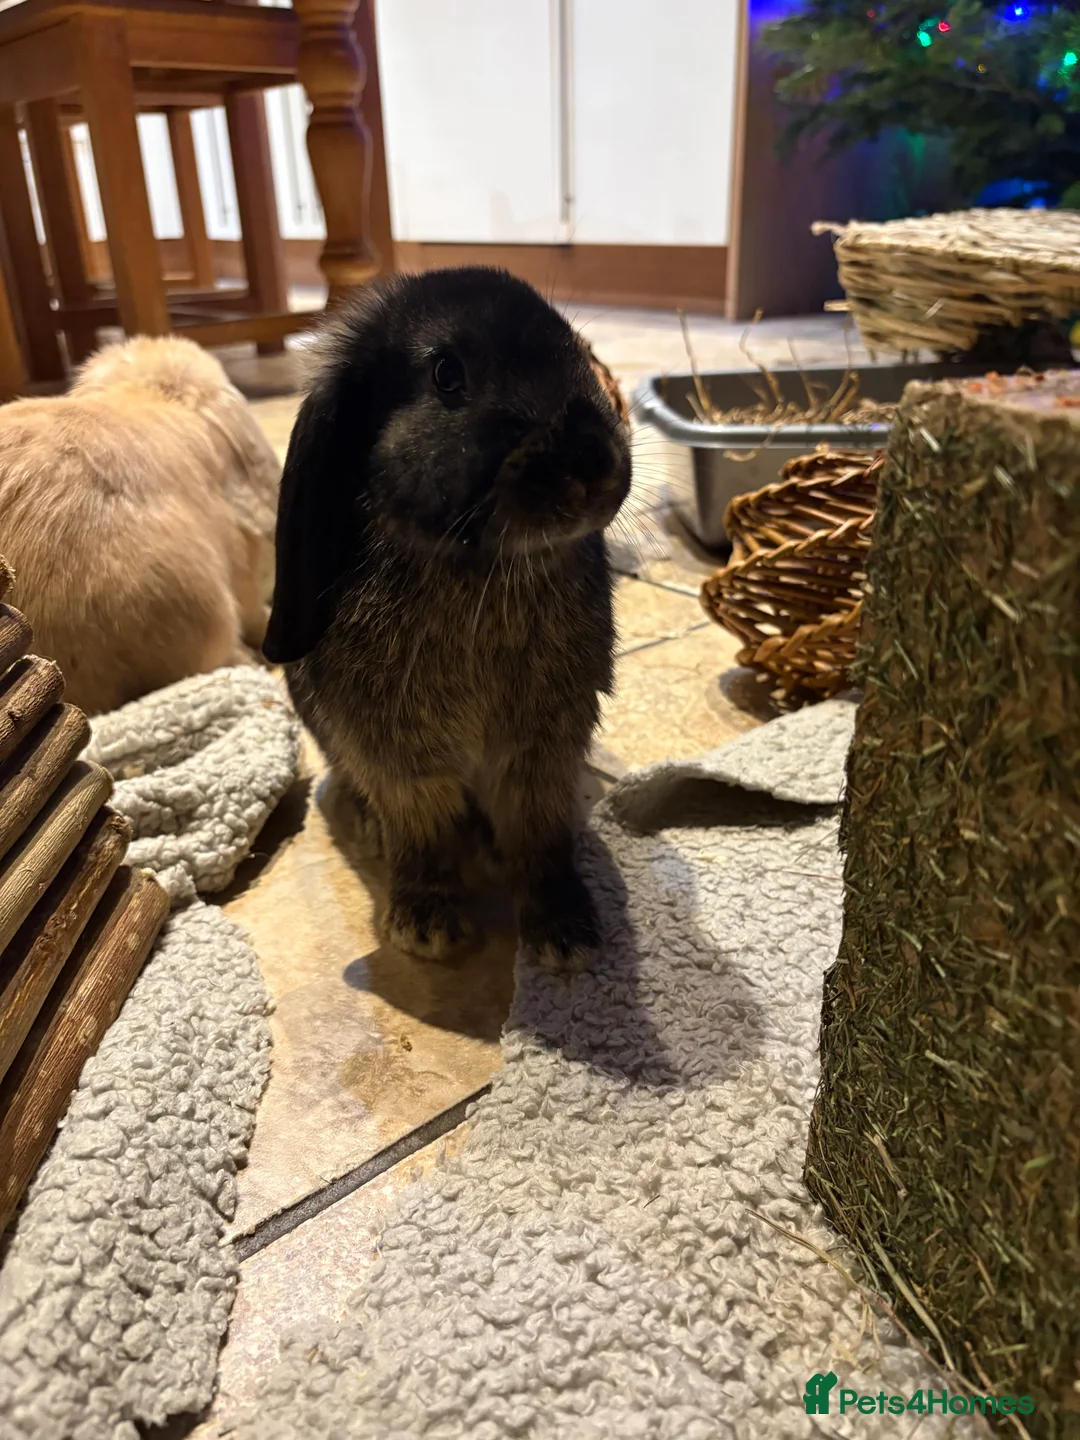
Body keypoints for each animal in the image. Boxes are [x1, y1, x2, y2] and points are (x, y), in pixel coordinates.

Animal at [264, 266, 632, 971]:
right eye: (446, 375)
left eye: (574, 348)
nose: (589, 467)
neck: (483, 567)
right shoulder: (402, 759)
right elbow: (423, 831)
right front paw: (427, 928)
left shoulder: (541, 752)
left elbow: (539, 836)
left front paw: (566, 933)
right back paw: (367, 826)